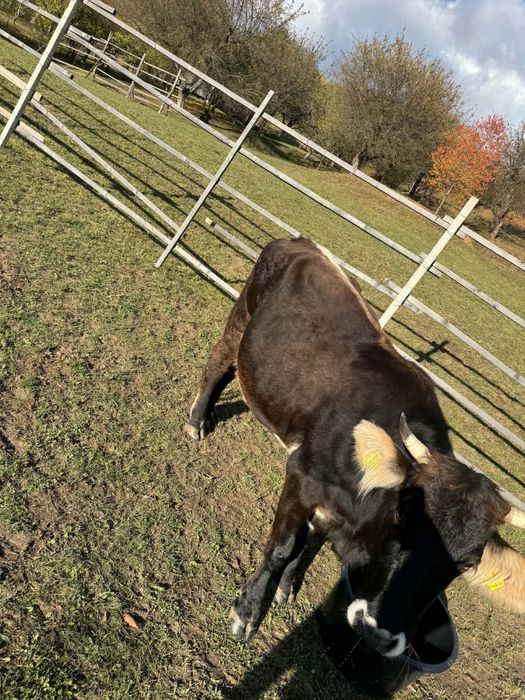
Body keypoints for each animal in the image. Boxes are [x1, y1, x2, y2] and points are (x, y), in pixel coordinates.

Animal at [186, 236, 525, 657]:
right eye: (402, 516)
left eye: (467, 562)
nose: (378, 632)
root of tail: (301, 242)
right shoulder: (302, 476)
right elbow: (283, 545)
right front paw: (248, 612)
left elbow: (308, 541)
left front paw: (287, 586)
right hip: (242, 316)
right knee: (219, 362)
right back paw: (198, 420)